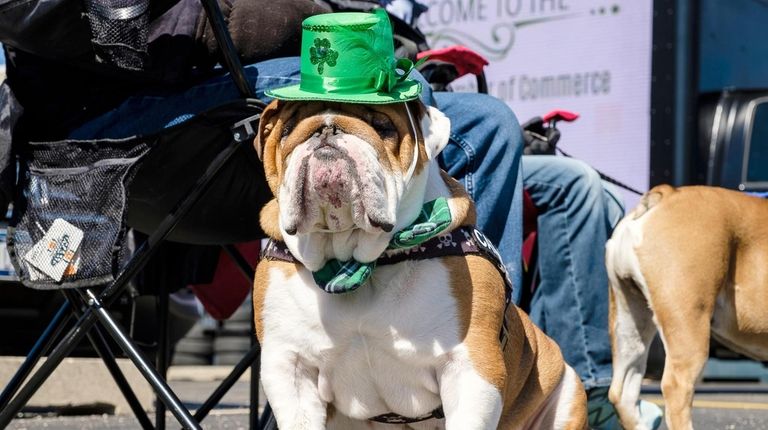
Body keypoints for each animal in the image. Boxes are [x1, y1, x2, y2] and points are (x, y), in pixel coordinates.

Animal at [252, 99, 588, 428]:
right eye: (288, 129)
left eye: (382, 126)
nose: (326, 129)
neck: (358, 263)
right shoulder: (289, 367)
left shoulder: (471, 367)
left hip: (568, 392)